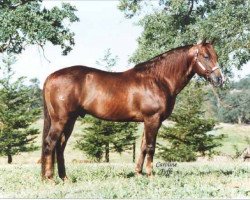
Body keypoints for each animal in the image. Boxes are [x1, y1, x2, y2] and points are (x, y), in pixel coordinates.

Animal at [42, 39, 224, 179]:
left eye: (216, 56)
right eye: (206, 56)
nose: (219, 79)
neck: (158, 79)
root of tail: (51, 76)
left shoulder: (149, 121)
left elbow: (143, 146)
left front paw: (138, 173)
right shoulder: (152, 119)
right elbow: (150, 146)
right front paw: (150, 174)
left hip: (70, 120)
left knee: (60, 146)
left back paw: (64, 177)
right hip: (61, 120)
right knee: (50, 143)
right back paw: (50, 178)